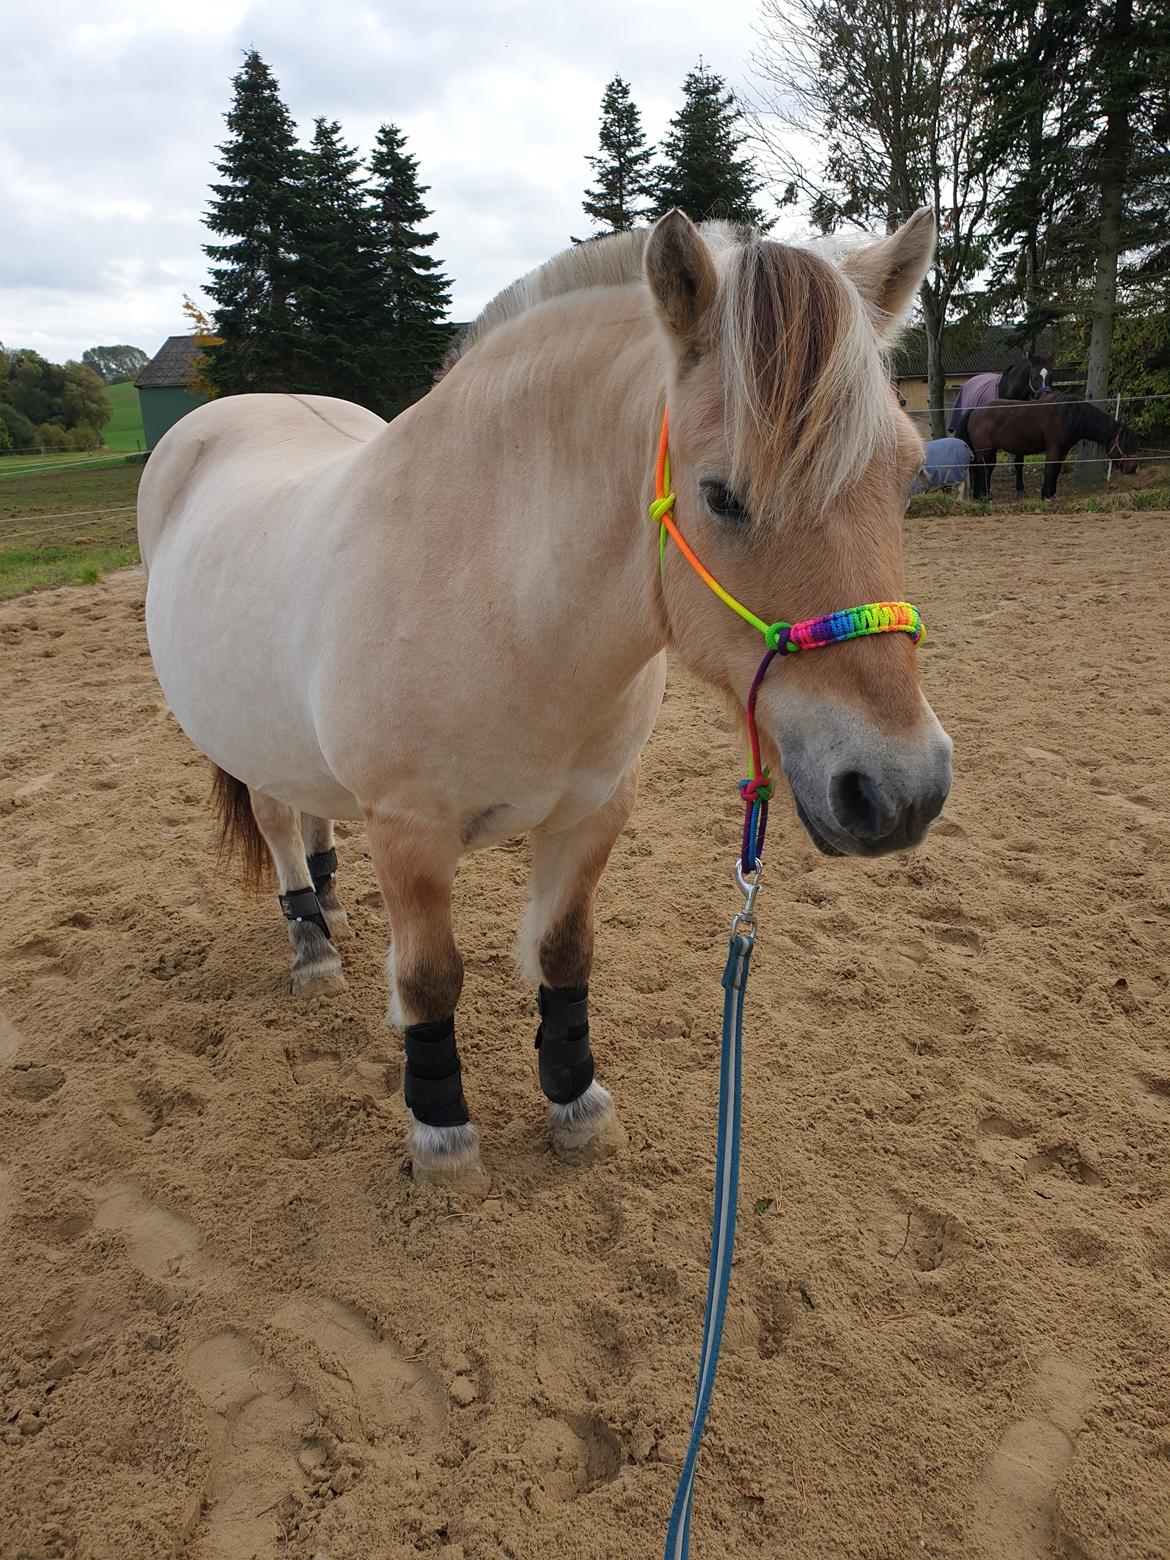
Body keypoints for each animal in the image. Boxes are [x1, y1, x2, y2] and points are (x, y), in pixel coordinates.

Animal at [954, 396, 1141, 499]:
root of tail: (975, 410)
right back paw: (983, 496)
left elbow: (1056, 471)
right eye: (1124, 443)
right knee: (981, 469)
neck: (1068, 415)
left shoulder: (1063, 450)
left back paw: (981, 495)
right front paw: (1046, 497)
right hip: (985, 450)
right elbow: (1050, 470)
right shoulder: (1054, 447)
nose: (1133, 467)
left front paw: (1051, 495)